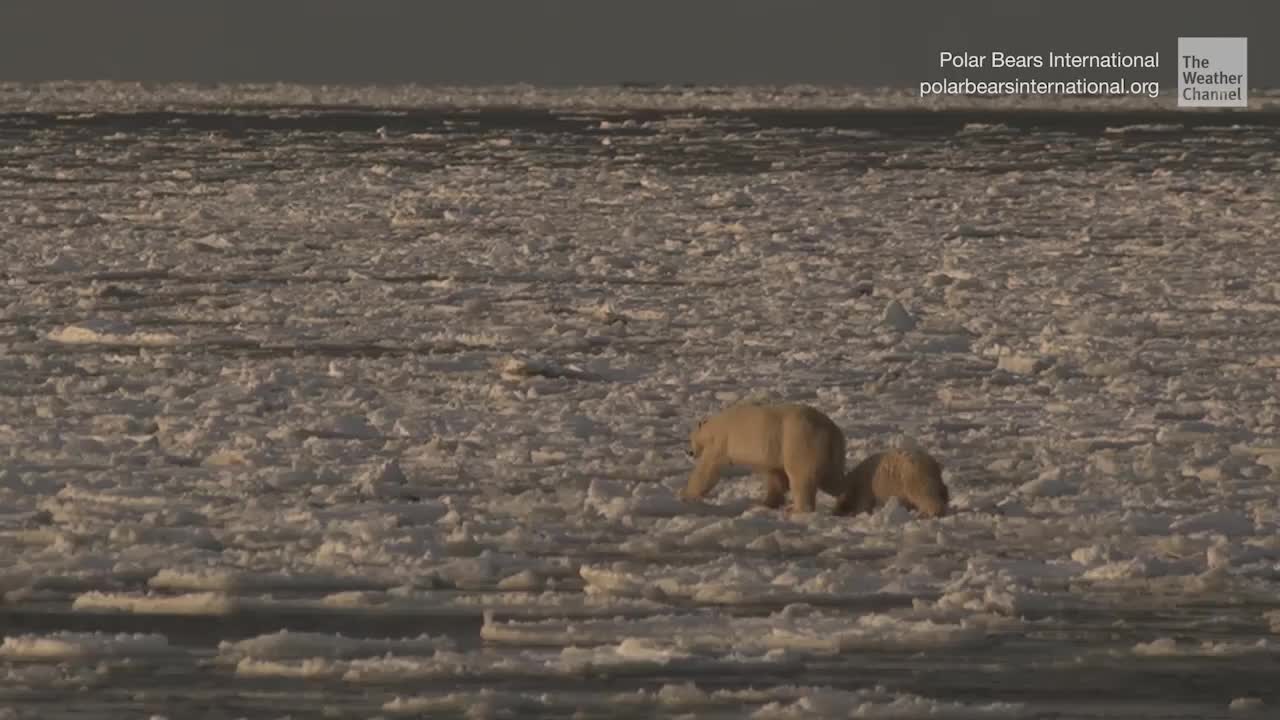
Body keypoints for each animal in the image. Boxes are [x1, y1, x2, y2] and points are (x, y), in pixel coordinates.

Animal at [680, 402, 846, 514]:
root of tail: (833, 430)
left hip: (800, 441)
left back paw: (796, 510)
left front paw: (686, 495)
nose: (689, 452)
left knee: (802, 477)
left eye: (690, 438)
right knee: (831, 478)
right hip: (829, 452)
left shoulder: (721, 442)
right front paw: (765, 504)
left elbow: (707, 469)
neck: (715, 425)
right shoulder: (774, 450)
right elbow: (776, 476)